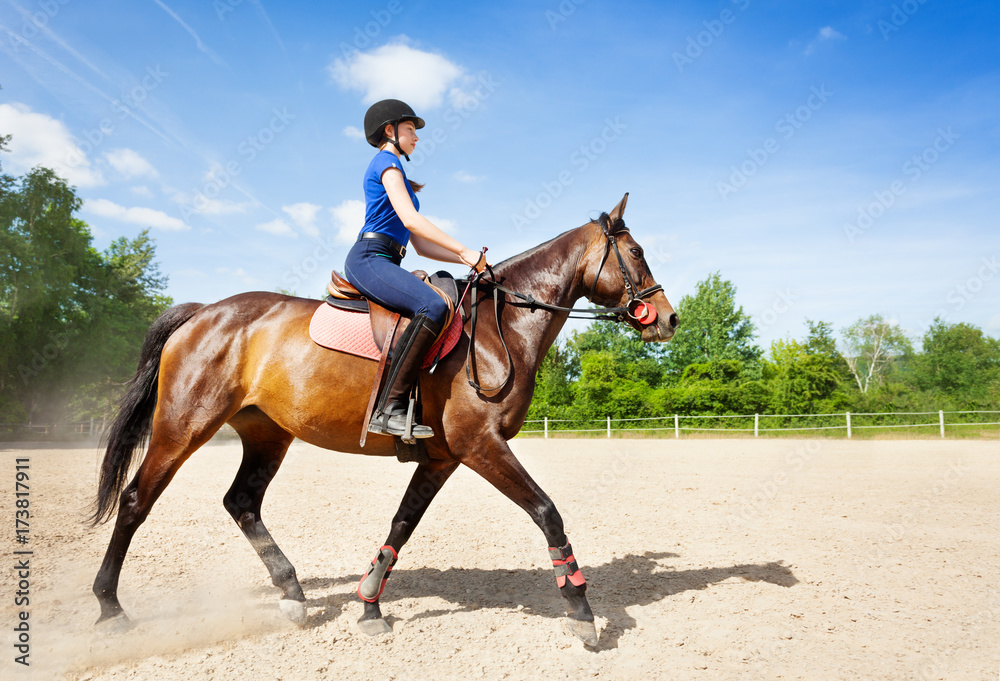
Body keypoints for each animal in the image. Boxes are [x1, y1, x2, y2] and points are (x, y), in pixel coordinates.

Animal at [90, 190, 680, 644]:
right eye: (636, 251)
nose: (668, 318)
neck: (500, 327)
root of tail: (203, 312)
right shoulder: (481, 445)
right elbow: (547, 512)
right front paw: (581, 613)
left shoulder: (443, 456)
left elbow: (403, 522)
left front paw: (370, 604)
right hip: (184, 426)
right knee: (137, 500)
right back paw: (109, 607)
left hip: (267, 434)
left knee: (242, 503)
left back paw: (293, 593)